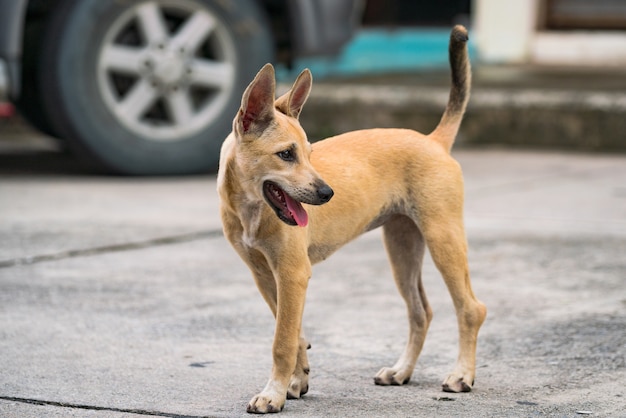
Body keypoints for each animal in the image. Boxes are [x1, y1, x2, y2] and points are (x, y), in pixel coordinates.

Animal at [217, 24, 486, 414]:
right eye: (286, 154)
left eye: (310, 153)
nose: (327, 193)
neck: (251, 208)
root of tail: (434, 140)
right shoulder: (266, 276)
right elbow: (293, 332)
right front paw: (297, 381)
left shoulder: (292, 274)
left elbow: (282, 340)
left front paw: (273, 394)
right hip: (403, 248)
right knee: (421, 312)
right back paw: (401, 371)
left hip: (443, 239)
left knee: (470, 309)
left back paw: (462, 374)